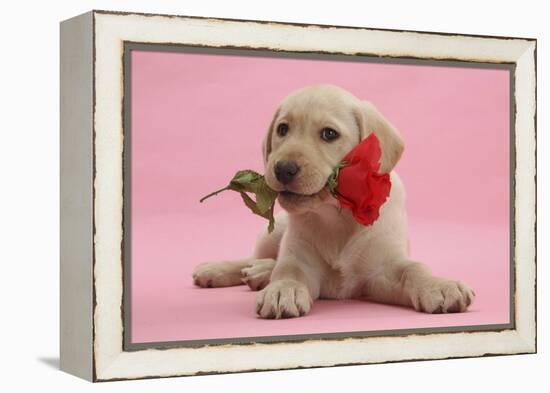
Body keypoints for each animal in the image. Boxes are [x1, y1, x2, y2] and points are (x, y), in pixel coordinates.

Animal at [193, 84, 474, 316]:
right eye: (282, 129)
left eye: (329, 134)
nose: (283, 169)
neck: (336, 215)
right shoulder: (300, 258)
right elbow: (288, 269)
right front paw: (283, 289)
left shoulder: (382, 270)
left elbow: (413, 269)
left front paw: (438, 285)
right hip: (272, 233)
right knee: (256, 257)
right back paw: (222, 270)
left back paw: (260, 273)